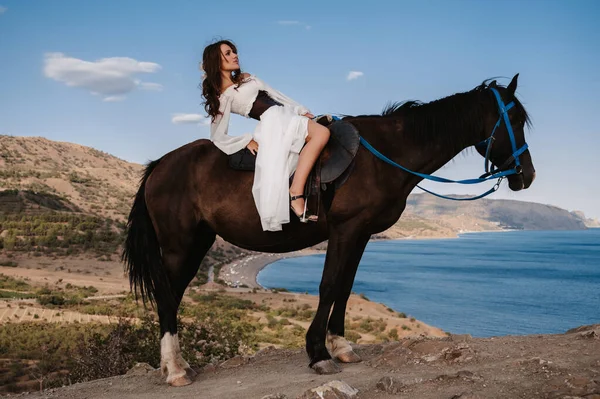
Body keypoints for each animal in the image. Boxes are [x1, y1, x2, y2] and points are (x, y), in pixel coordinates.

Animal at [122, 75, 536, 388]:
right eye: (515, 120)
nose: (527, 175)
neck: (387, 153)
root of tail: (160, 165)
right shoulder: (344, 230)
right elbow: (328, 285)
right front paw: (319, 353)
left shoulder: (361, 234)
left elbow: (346, 286)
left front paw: (341, 345)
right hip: (180, 245)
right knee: (167, 296)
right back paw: (176, 370)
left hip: (198, 242)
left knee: (172, 295)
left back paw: (173, 365)